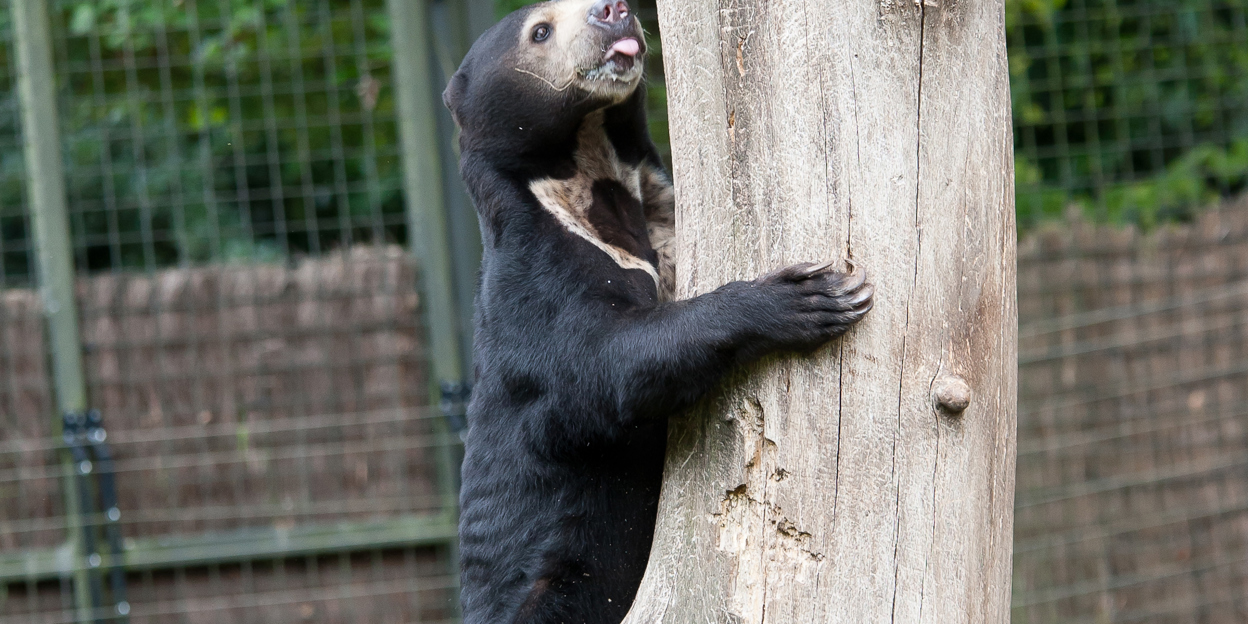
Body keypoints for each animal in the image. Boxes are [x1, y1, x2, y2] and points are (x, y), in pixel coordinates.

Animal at [442, 1, 874, 622]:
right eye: (540, 31)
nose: (614, 10)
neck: (592, 178)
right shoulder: (533, 286)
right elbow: (605, 366)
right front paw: (813, 295)